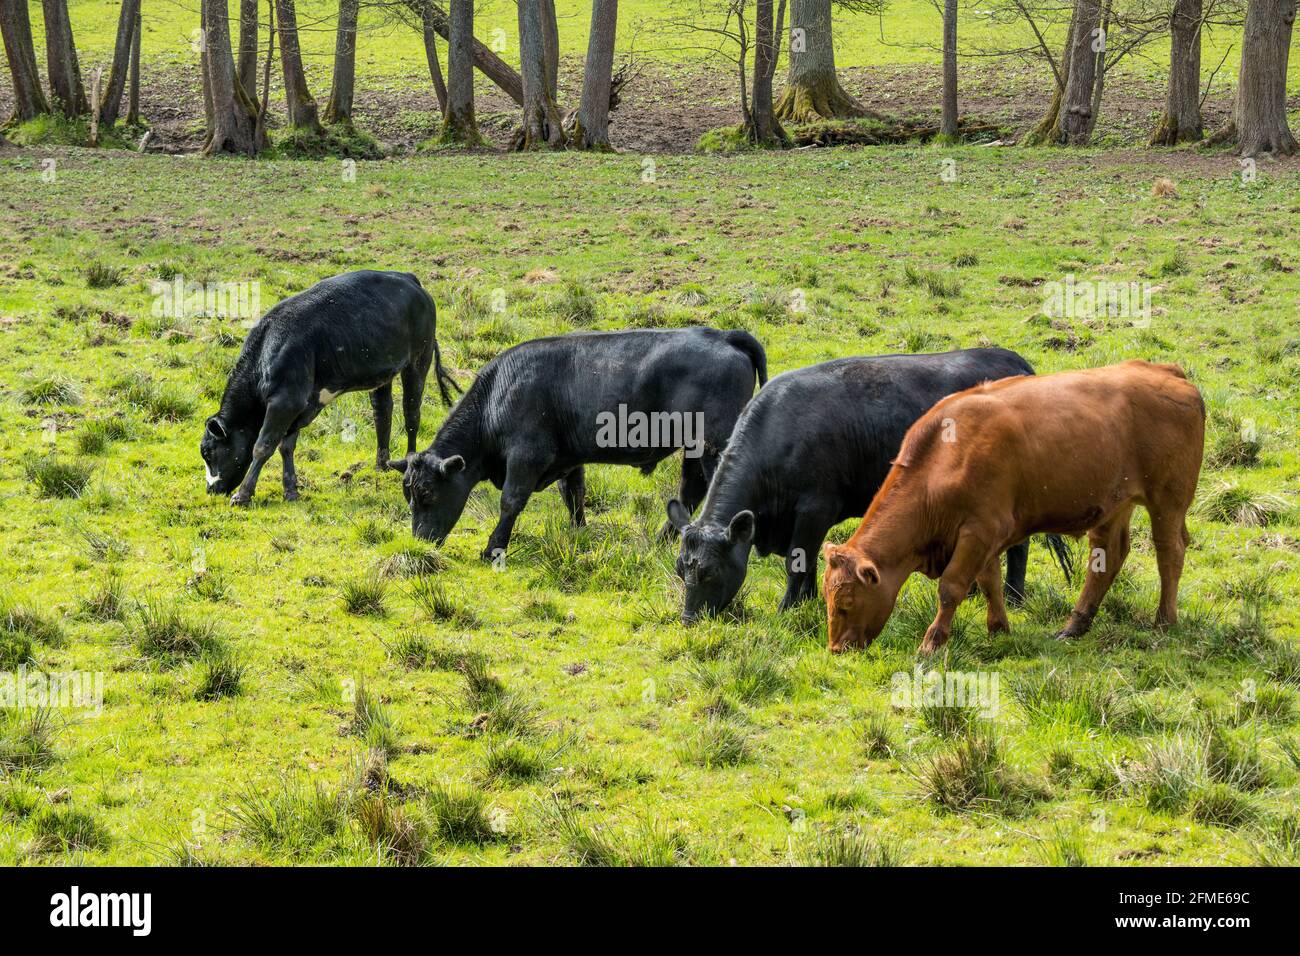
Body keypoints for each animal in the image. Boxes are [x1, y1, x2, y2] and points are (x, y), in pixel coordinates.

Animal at [200, 269, 460, 504]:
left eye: (208, 452)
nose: (211, 490)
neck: (267, 350)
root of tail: (408, 277)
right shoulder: (299, 405)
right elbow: (286, 446)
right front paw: (291, 491)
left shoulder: (286, 401)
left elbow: (263, 446)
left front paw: (243, 495)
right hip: (383, 370)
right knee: (382, 411)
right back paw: (381, 464)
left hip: (419, 359)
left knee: (411, 413)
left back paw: (407, 461)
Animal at [390, 327, 764, 556]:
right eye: (408, 494)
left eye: (427, 493)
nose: (420, 541)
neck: (498, 394)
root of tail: (725, 336)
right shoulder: (569, 460)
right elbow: (574, 495)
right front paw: (578, 534)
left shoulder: (526, 458)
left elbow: (511, 501)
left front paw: (493, 549)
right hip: (694, 449)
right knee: (690, 491)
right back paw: (661, 542)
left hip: (713, 446)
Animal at [665, 348, 1071, 624]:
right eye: (681, 569)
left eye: (710, 571)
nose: (689, 620)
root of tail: (1011, 360)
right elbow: (808, 566)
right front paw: (807, 604)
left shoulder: (815, 508)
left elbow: (798, 561)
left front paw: (787, 609)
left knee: (1018, 546)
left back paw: (1014, 598)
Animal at [821, 361, 1206, 655]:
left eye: (845, 603)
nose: (837, 649)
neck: (945, 459)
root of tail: (1168, 371)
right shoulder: (983, 537)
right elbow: (990, 581)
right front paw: (998, 628)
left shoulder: (979, 531)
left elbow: (951, 588)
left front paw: (932, 642)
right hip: (1114, 505)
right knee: (1107, 559)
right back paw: (1075, 625)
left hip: (1167, 501)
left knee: (1169, 553)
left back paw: (1163, 621)